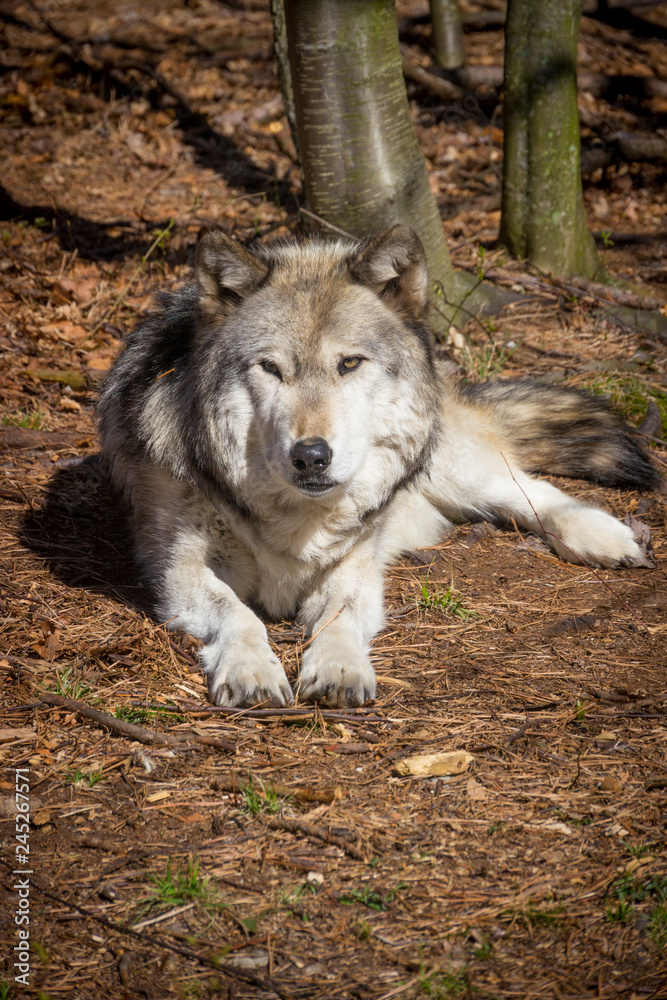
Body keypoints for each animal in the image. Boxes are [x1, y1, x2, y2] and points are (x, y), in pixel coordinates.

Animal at [98, 225, 657, 709]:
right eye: (271, 368)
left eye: (349, 364)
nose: (311, 455)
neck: (298, 517)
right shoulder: (182, 570)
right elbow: (238, 614)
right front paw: (251, 669)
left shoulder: (356, 564)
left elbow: (340, 615)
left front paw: (339, 668)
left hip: (454, 469)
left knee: (532, 491)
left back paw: (606, 538)